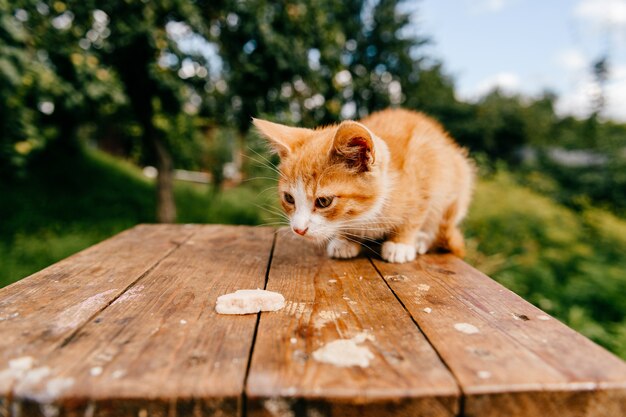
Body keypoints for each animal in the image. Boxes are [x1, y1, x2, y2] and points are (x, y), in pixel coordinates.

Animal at [254, 108, 472, 264]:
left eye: (324, 201)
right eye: (289, 198)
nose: (298, 230)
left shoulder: (425, 170)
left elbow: (416, 212)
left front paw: (401, 243)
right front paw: (345, 240)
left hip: (458, 174)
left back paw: (420, 240)